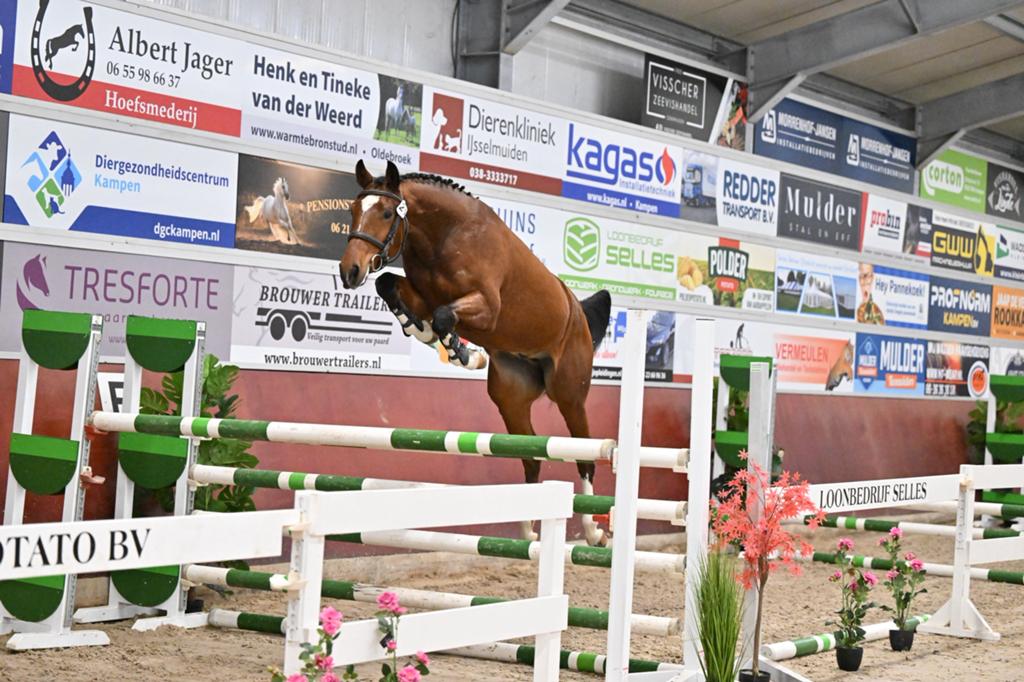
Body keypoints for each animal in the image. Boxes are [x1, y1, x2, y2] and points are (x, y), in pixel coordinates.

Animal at [339, 160, 613, 546]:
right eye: (352, 210)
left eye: (387, 213)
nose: (350, 271)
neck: (445, 236)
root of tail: (577, 313)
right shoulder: (423, 295)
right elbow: (388, 286)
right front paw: (423, 332)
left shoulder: (486, 308)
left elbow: (442, 316)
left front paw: (464, 354)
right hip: (510, 399)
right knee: (531, 457)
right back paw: (528, 533)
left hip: (569, 395)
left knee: (585, 456)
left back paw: (592, 533)